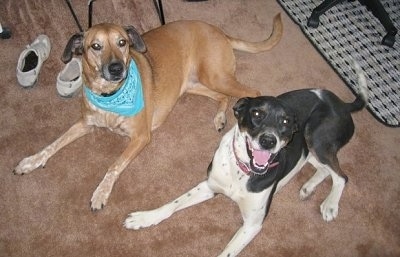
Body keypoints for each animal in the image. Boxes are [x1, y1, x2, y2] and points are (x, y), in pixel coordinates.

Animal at [11, 13, 282, 210]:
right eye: (95, 46)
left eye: (122, 42)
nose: (116, 68)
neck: (110, 95)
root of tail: (218, 31)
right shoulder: (84, 123)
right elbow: (53, 144)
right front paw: (31, 161)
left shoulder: (140, 137)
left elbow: (114, 166)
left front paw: (101, 192)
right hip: (195, 85)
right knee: (223, 97)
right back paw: (219, 117)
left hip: (216, 76)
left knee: (253, 92)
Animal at [125, 62, 368, 256]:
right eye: (257, 114)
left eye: (285, 122)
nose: (268, 141)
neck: (242, 172)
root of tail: (342, 104)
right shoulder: (209, 186)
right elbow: (173, 204)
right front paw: (144, 218)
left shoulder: (252, 224)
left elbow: (227, 252)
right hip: (309, 148)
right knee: (326, 169)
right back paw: (308, 187)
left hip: (316, 138)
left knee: (341, 176)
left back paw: (330, 205)